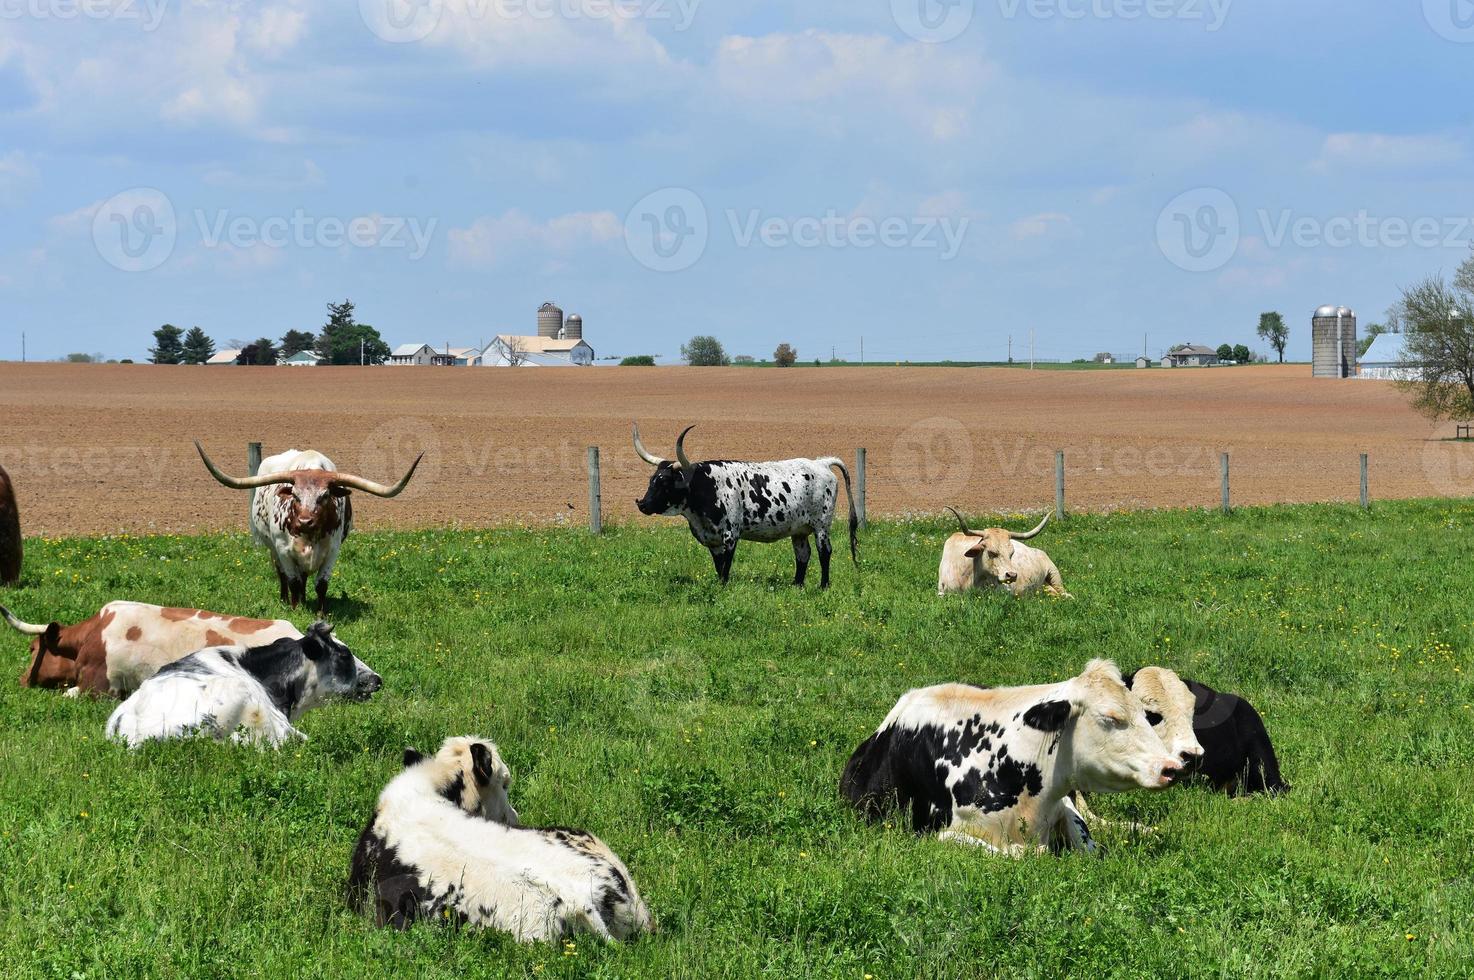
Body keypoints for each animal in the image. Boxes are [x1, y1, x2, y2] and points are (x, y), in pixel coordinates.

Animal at [630, 421, 860, 589]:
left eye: (666, 482)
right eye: (652, 480)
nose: (642, 504)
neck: (706, 486)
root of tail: (821, 463)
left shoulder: (731, 535)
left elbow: (726, 566)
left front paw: (723, 587)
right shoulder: (712, 541)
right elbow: (719, 566)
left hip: (821, 525)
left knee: (824, 552)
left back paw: (823, 586)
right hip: (799, 530)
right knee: (803, 555)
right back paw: (796, 585)